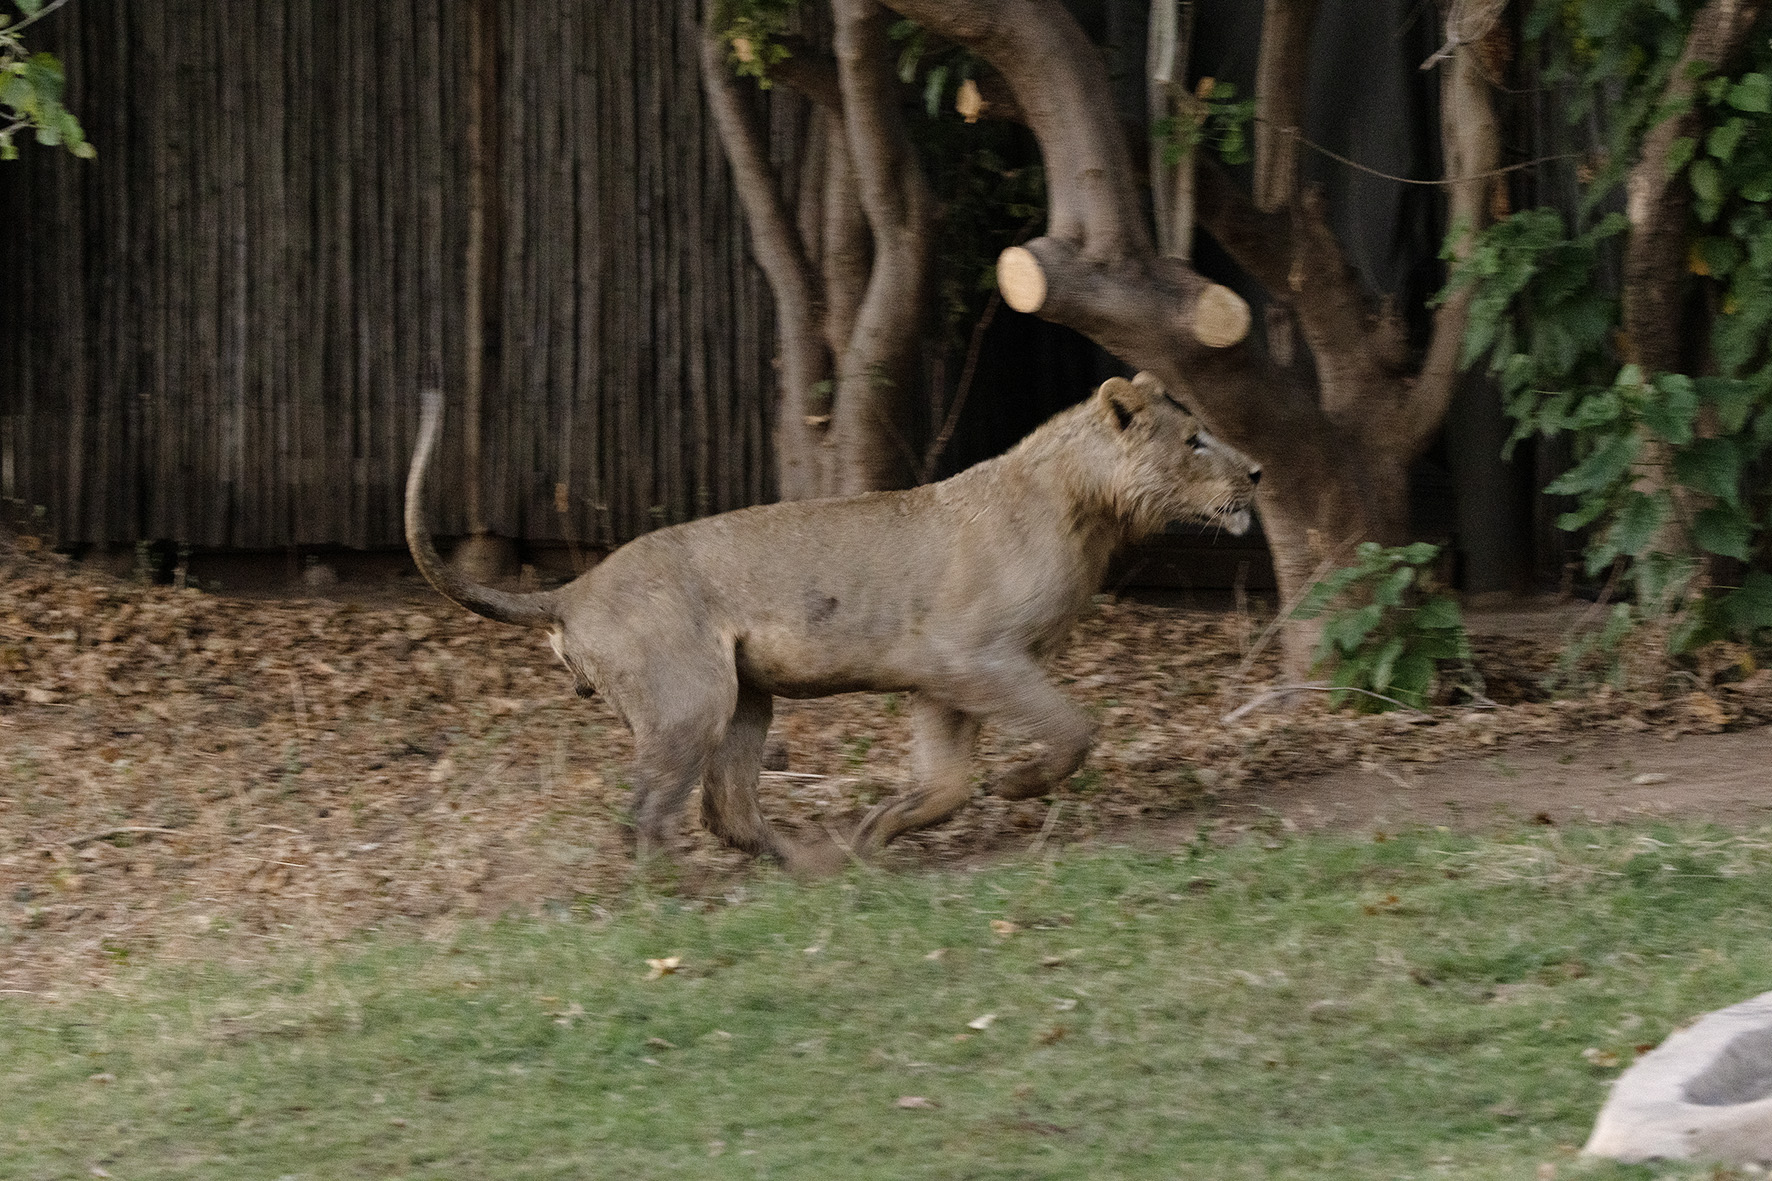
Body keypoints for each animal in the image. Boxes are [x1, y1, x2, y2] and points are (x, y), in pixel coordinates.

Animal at [402, 372, 1261, 868]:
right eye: (1194, 440)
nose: (1255, 471)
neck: (1090, 509)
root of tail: (573, 588)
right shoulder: (972, 656)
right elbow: (1073, 728)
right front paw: (1018, 784)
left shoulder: (942, 677)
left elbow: (946, 780)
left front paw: (877, 833)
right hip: (690, 699)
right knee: (650, 810)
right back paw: (675, 891)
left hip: (746, 698)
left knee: (725, 806)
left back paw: (809, 864)